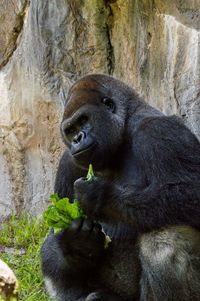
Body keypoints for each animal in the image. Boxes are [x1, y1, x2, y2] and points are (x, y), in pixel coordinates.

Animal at [40, 73, 200, 300]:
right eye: (70, 130)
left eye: (84, 120)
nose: (77, 139)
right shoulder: (67, 162)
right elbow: (54, 232)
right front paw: (76, 244)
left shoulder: (160, 131)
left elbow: (191, 191)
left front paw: (100, 197)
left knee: (165, 238)